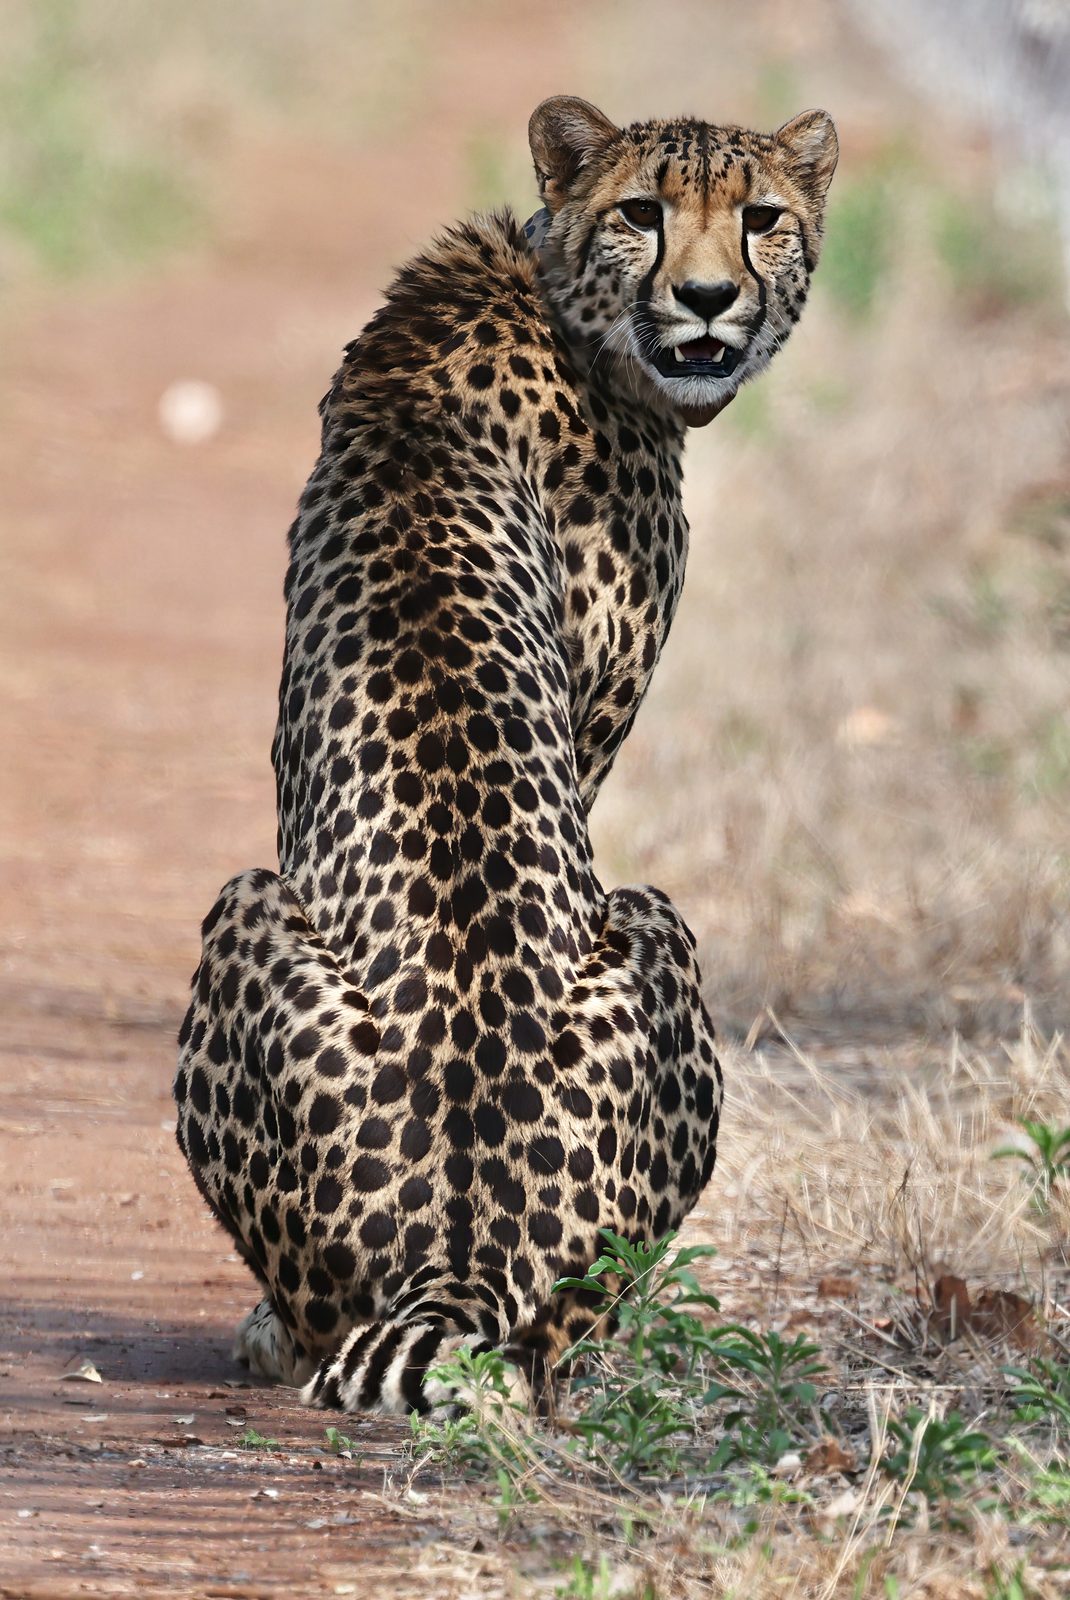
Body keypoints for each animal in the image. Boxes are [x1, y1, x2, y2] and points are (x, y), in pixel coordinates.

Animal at [174, 95, 838, 1415]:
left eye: (759, 218)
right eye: (641, 211)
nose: (704, 300)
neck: (558, 291)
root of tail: (458, 1259)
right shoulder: (590, 738)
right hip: (605, 911)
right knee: (523, 1345)